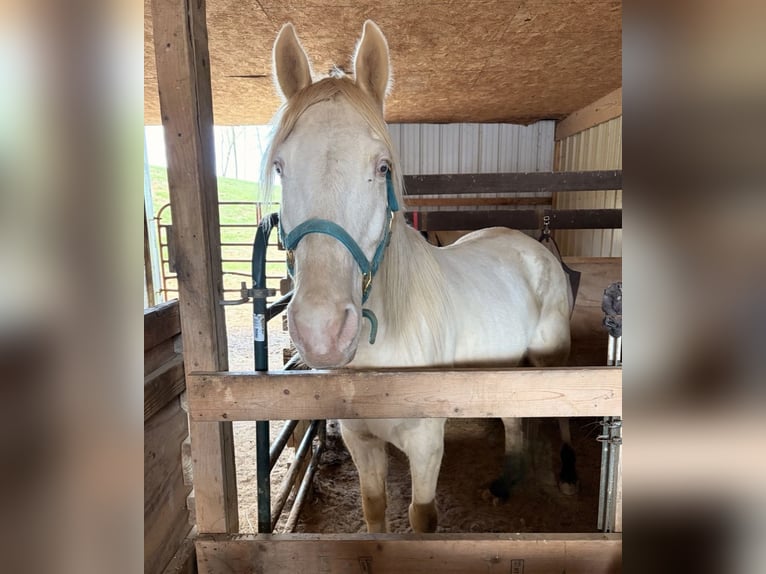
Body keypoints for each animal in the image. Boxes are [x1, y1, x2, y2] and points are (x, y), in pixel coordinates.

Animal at [264, 20, 577, 533]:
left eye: (383, 167)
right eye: (280, 166)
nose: (322, 330)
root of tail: (534, 246)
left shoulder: (427, 444)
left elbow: (422, 519)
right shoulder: (362, 441)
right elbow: (374, 511)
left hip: (553, 360)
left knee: (562, 414)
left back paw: (567, 473)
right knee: (515, 421)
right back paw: (505, 483)